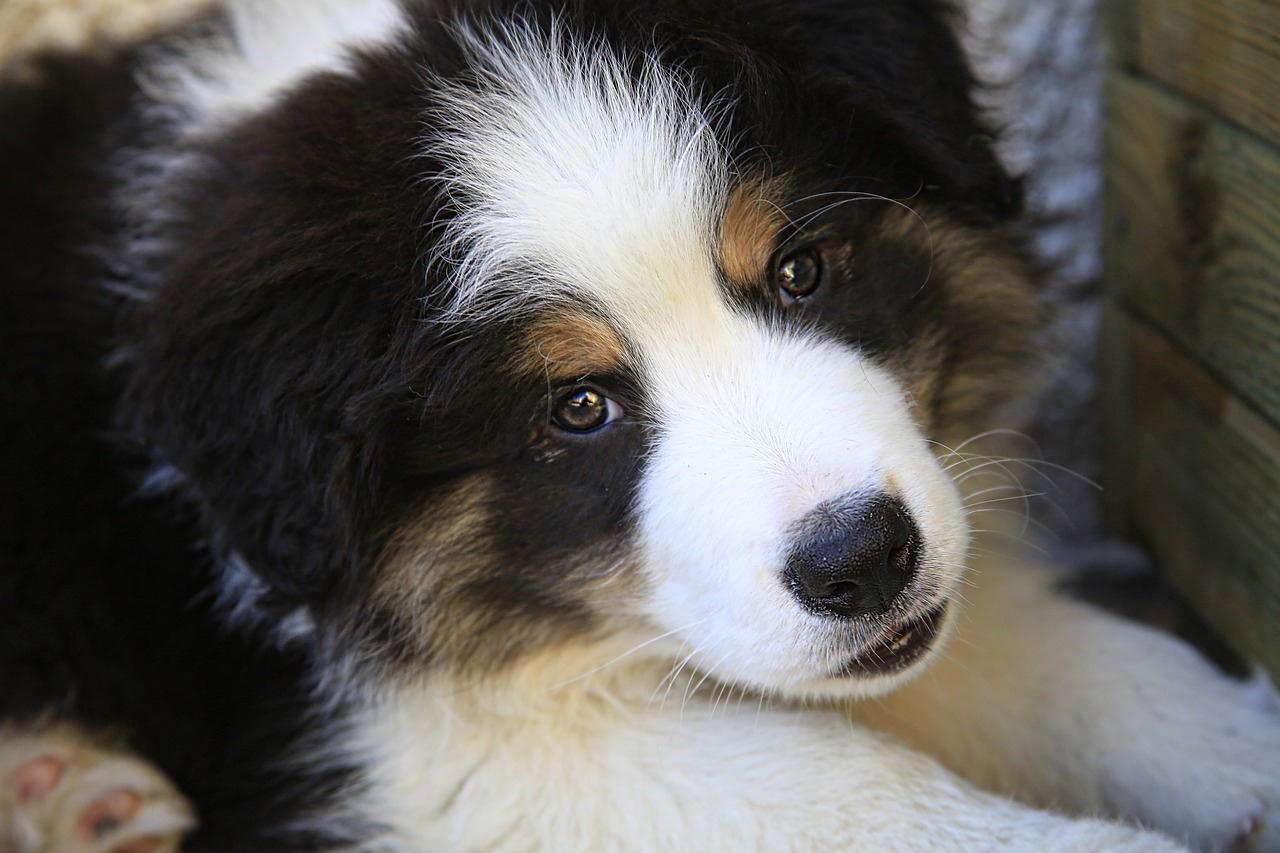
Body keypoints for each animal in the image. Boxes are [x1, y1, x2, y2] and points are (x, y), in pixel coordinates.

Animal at [2, 1, 1280, 850]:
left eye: (801, 269)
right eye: (579, 407)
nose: (861, 560)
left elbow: (1069, 659)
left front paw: (1240, 753)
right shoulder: (418, 757)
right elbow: (846, 786)